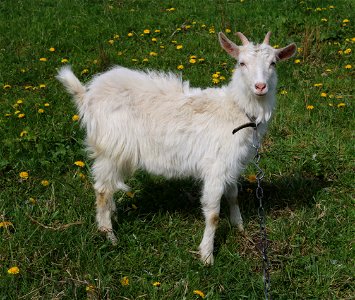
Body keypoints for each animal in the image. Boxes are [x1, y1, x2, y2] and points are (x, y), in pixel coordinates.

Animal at [57, 31, 298, 264]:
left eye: (273, 63)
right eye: (241, 63)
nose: (260, 87)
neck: (237, 109)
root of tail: (87, 96)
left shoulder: (230, 164)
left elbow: (233, 195)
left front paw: (239, 227)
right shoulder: (215, 167)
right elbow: (213, 214)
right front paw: (207, 255)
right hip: (112, 148)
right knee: (102, 189)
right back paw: (109, 234)